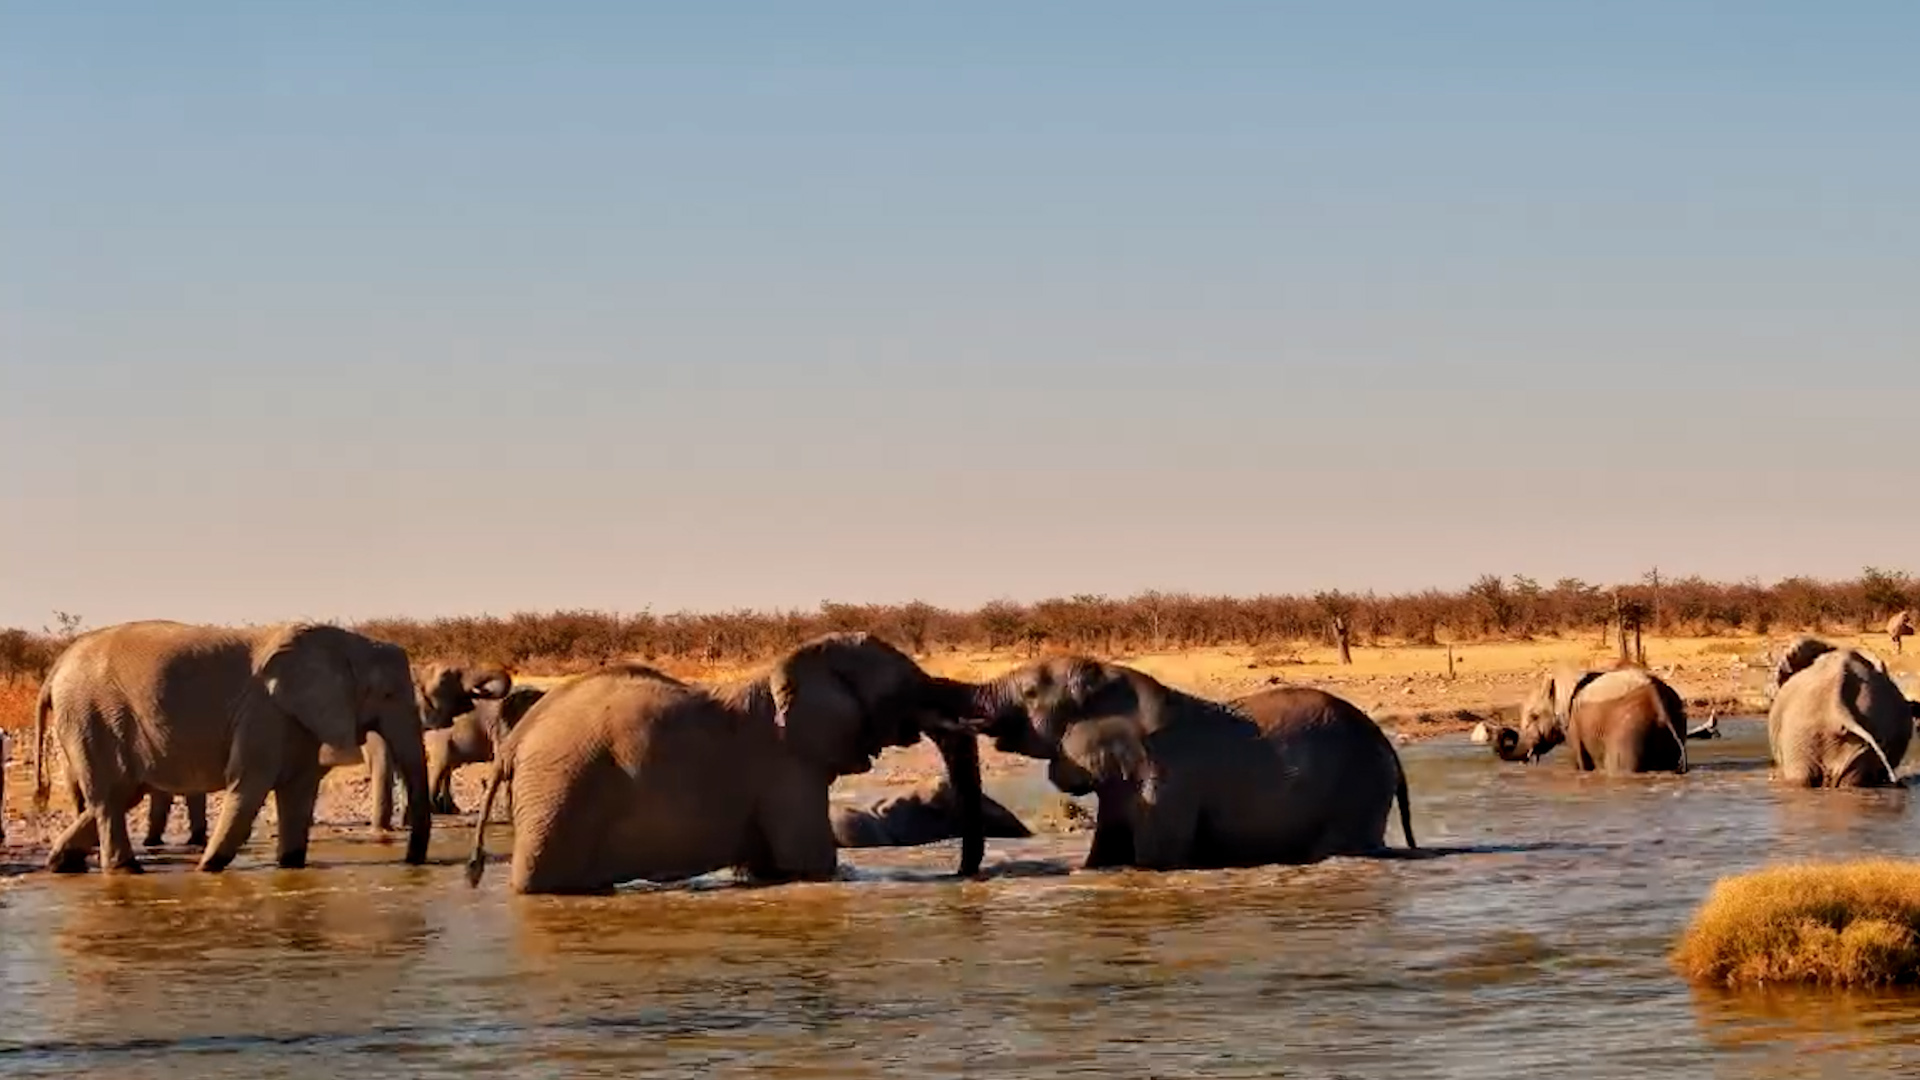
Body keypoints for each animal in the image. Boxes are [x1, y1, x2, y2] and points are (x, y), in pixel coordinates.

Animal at [33, 620, 440, 873]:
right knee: (109, 797)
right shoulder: (264, 712)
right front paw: (206, 869)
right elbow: (248, 788)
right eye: (387, 695)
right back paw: (126, 871)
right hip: (91, 717)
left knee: (121, 795)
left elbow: (298, 793)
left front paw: (290, 866)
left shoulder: (295, 717)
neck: (346, 642)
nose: (412, 863)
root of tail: (55, 669)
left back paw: (62, 864)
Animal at [425, 685, 547, 816]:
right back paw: (435, 811)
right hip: (438, 739)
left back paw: (449, 810)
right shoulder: (500, 726)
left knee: (446, 770)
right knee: (439, 767)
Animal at [466, 634, 989, 894]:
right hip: (559, 789)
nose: (962, 877)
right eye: (903, 690)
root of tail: (516, 741)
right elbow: (810, 863)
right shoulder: (787, 769)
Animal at [967, 657, 1415, 871]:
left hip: (1360, 787)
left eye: (1028, 692)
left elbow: (1155, 861)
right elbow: (1105, 853)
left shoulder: (1168, 782)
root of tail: (1387, 744)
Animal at [1492, 664, 1689, 774]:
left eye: (1534, 716)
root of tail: (1657, 699)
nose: (1506, 731)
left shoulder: (1573, 724)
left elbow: (1581, 763)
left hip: (1630, 730)